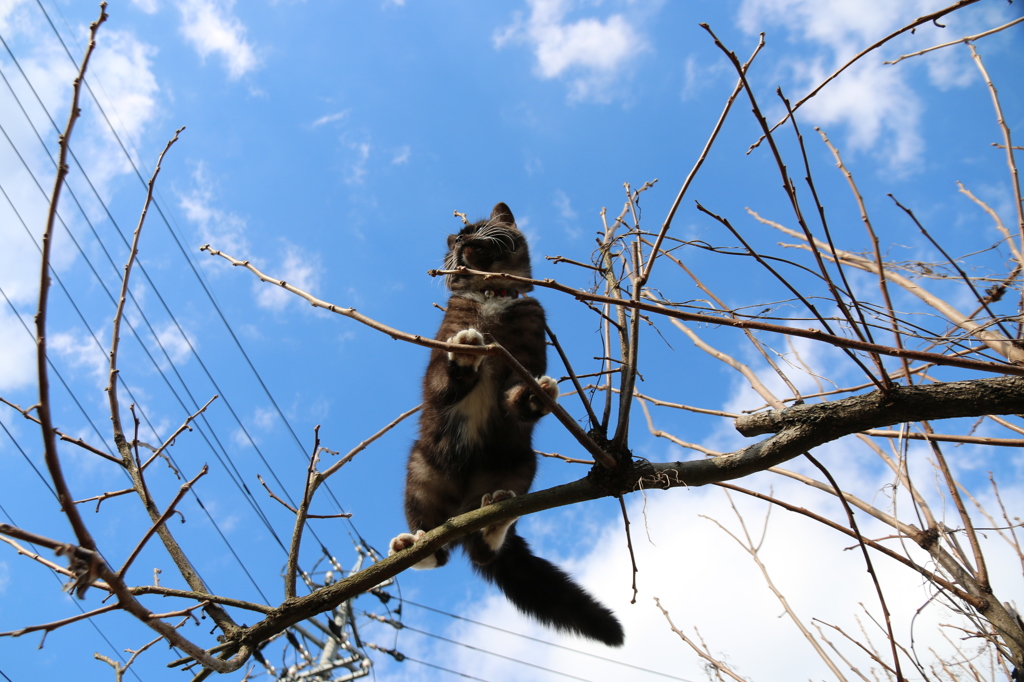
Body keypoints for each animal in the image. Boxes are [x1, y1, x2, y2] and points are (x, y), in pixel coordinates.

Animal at [389, 200, 622, 643]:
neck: (491, 295)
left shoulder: (528, 351)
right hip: (421, 472)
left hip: (520, 467)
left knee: (484, 553)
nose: (461, 238)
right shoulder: (440, 353)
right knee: (440, 553)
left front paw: (532, 396)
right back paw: (414, 545)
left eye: (478, 227)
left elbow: (516, 393)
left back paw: (496, 517)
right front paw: (466, 353)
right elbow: (443, 380)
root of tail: (464, 512)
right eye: (452, 241)